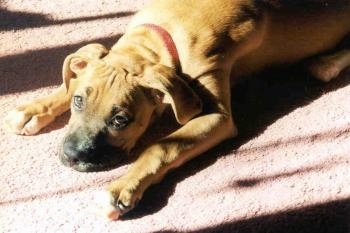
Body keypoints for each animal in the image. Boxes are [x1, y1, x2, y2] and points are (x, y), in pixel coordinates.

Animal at [3, 0, 350, 219]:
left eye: (121, 120)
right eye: (79, 101)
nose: (71, 157)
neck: (161, 33)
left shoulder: (217, 117)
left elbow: (161, 146)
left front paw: (121, 189)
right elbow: (69, 80)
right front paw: (34, 107)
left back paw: (326, 64)